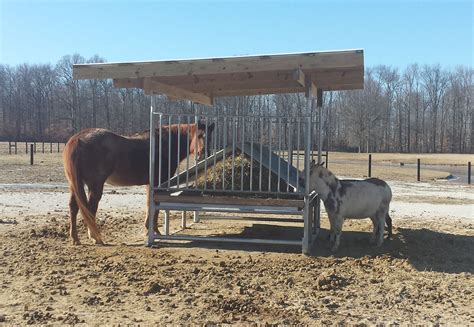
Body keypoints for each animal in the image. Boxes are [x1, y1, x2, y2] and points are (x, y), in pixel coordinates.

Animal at [63, 123, 215, 246]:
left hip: (75, 185)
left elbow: (149, 205)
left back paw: (75, 239)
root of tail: (77, 139)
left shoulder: (150, 184)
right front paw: (154, 231)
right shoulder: (158, 183)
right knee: (90, 208)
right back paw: (95, 237)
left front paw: (150, 230)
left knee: (74, 207)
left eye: (210, 136)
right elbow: (155, 207)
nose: (203, 154)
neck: (164, 145)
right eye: (199, 135)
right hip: (95, 185)